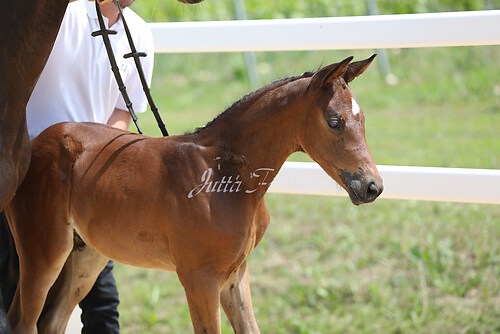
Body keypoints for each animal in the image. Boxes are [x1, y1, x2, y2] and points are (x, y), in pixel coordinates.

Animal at [5, 55, 382, 334]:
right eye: (333, 121)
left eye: (363, 119)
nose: (372, 187)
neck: (225, 175)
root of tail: (36, 143)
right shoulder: (199, 279)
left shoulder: (235, 275)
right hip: (45, 251)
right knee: (24, 321)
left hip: (87, 255)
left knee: (51, 321)